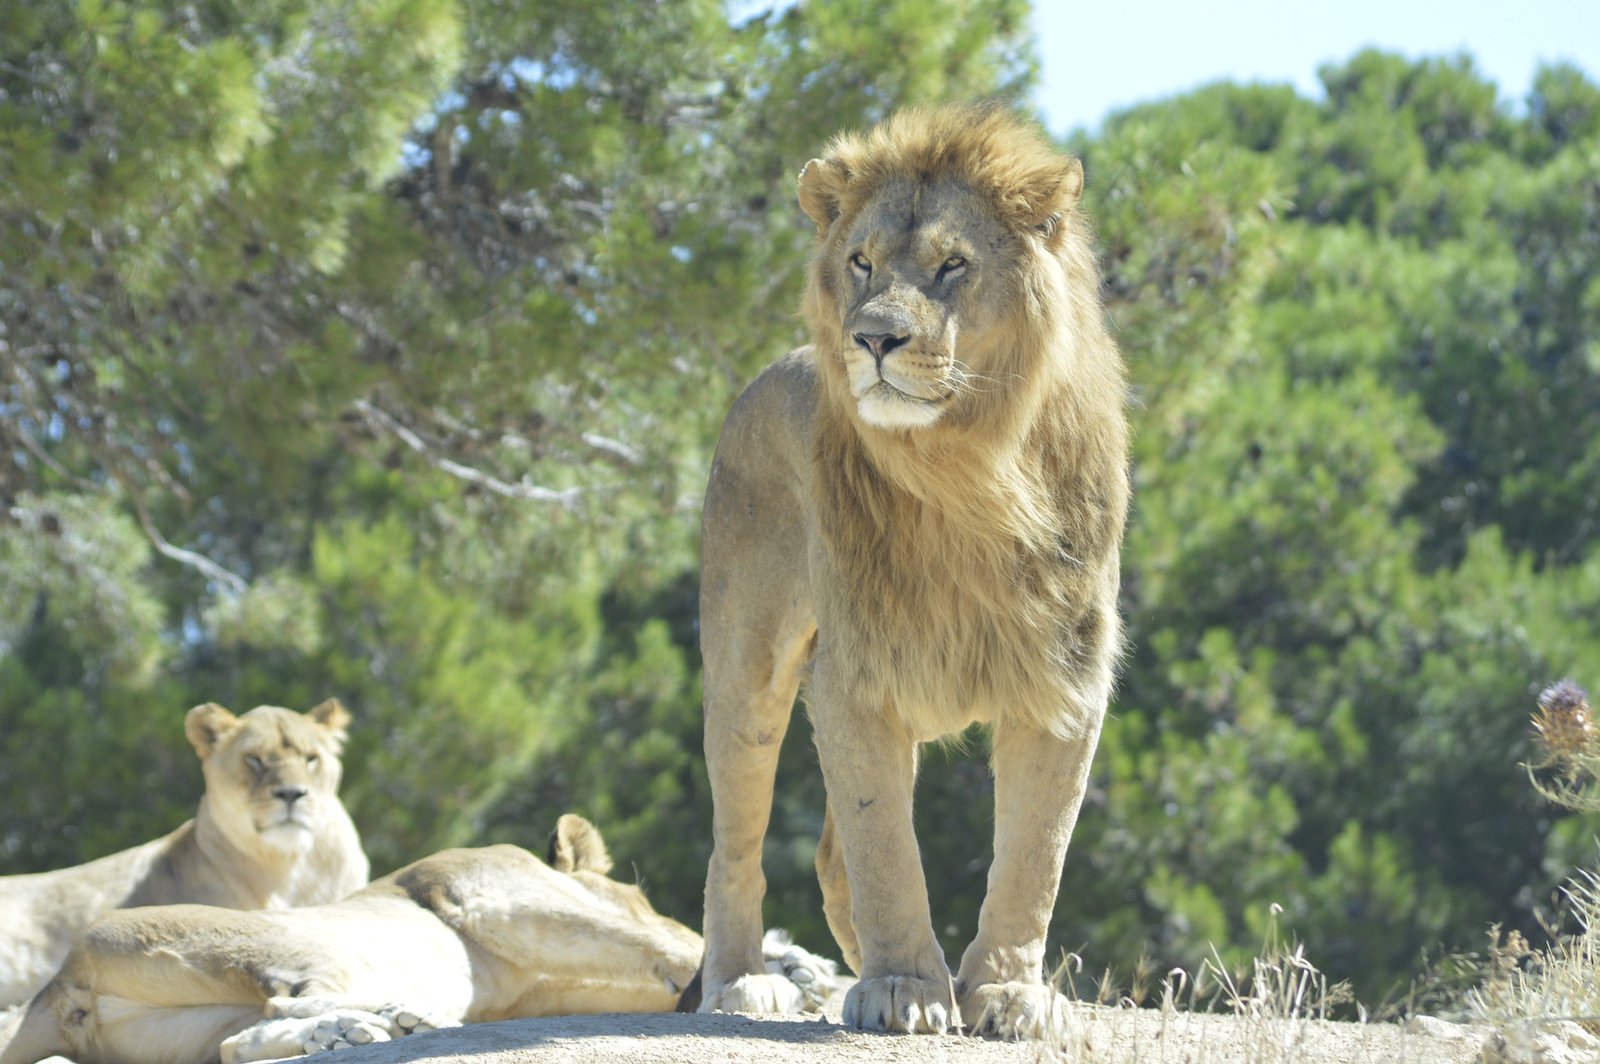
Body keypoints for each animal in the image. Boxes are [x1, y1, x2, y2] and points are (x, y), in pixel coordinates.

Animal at [0, 812, 844, 1062]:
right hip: (280, 944)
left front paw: (795, 965)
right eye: (639, 892)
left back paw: (367, 1029)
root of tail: (59, 984)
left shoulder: (543, 985)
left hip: (189, 1028)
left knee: (239, 1043)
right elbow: (657, 946)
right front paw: (779, 979)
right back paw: (384, 1021)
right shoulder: (495, 894)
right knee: (282, 1006)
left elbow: (656, 977)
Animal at [697, 105, 1126, 1036]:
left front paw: (1005, 992)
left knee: (829, 854)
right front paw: (904, 987)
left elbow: (1034, 857)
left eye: (951, 265)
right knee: (735, 839)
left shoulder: (1065, 680)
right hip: (747, 675)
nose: (873, 337)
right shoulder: (856, 673)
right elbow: (885, 846)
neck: (968, 473)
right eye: (860, 262)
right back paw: (741, 981)